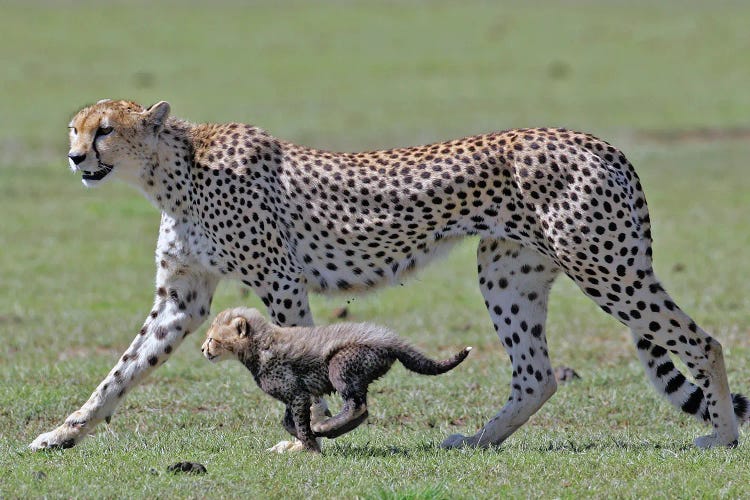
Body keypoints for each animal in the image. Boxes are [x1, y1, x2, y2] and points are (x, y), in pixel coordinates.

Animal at [29, 99, 748, 452]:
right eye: (74, 129)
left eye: (104, 130)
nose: (74, 158)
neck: (172, 171)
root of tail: (600, 142)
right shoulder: (181, 298)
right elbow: (121, 371)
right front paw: (65, 433)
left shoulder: (281, 280)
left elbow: (302, 357)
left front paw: (311, 436)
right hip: (508, 272)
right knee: (537, 372)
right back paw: (478, 440)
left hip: (603, 264)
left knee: (701, 340)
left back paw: (721, 434)